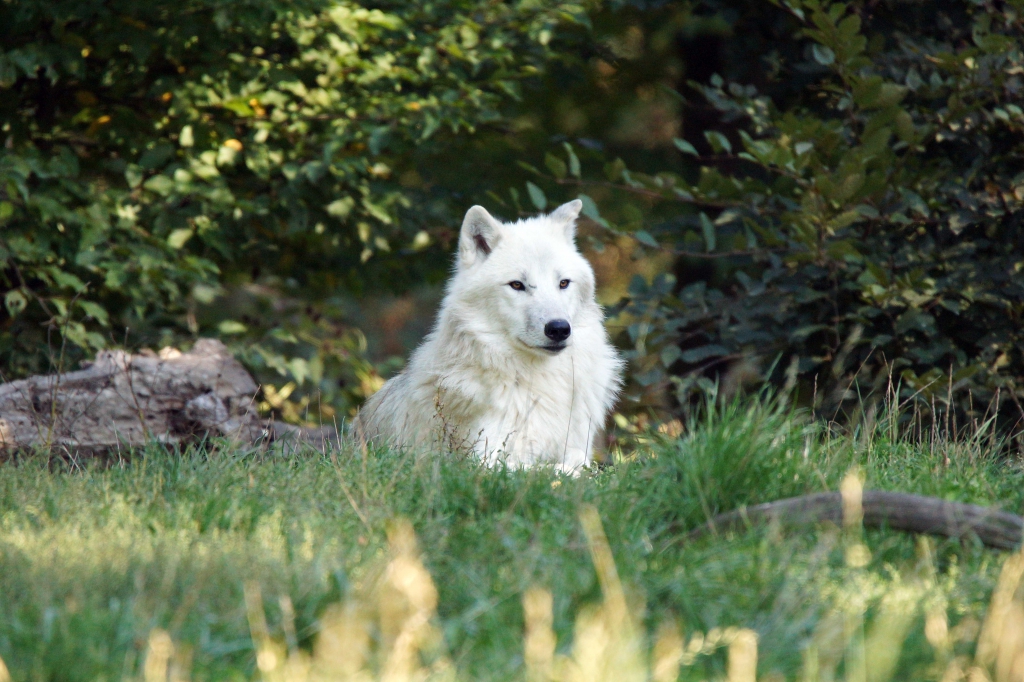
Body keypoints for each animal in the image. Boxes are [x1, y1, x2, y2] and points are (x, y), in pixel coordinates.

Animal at [356, 199, 623, 472]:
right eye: (517, 285)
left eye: (563, 283)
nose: (559, 328)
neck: (539, 381)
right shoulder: (485, 460)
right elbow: (545, 469)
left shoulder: (579, 444)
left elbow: (578, 461)